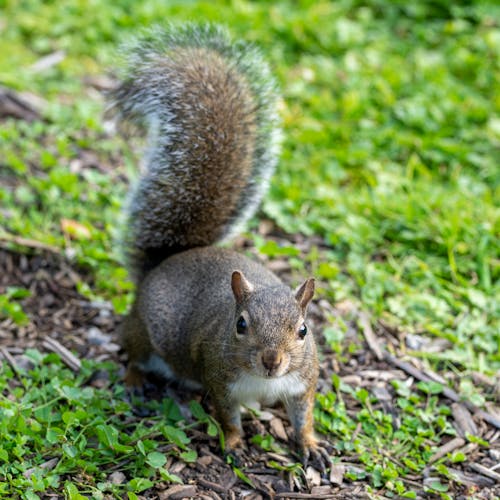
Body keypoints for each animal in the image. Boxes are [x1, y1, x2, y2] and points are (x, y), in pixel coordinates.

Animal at [109, 23, 328, 466]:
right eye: (240, 325)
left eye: (303, 330)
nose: (272, 361)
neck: (264, 382)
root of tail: (164, 263)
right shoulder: (219, 381)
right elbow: (228, 417)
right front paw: (234, 444)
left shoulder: (302, 383)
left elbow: (304, 416)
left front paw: (310, 443)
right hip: (143, 332)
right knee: (132, 351)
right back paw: (136, 380)